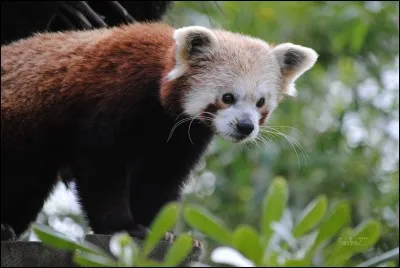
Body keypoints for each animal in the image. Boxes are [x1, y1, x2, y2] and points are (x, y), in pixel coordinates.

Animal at [0, 22, 318, 241]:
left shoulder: (181, 135)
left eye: (260, 102)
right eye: (227, 97)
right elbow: (102, 168)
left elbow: (159, 180)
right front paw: (122, 227)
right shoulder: (109, 103)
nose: (245, 126)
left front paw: (157, 229)